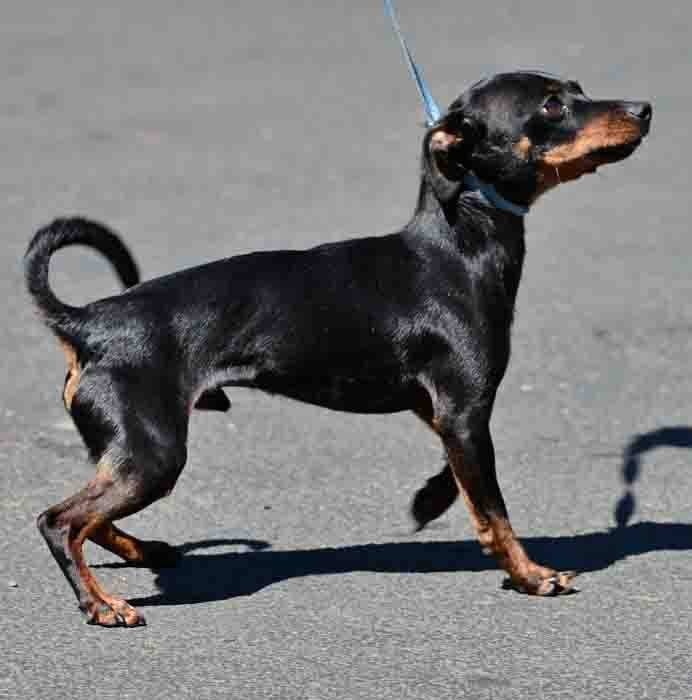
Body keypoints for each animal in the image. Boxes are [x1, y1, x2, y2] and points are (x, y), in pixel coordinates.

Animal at [24, 72, 652, 628]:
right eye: (551, 106)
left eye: (577, 89)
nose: (644, 108)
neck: (459, 245)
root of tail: (88, 320)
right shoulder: (465, 410)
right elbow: (495, 509)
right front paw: (529, 575)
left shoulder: (445, 413)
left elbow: (462, 483)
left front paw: (428, 503)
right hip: (154, 456)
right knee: (60, 521)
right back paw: (101, 605)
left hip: (127, 452)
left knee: (91, 517)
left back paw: (142, 553)